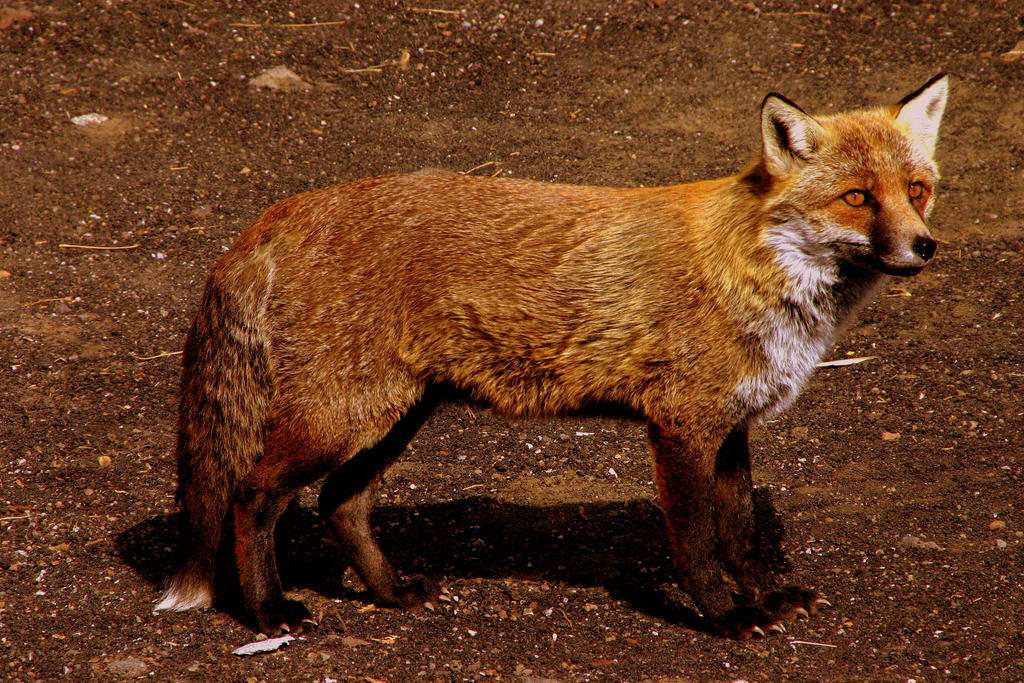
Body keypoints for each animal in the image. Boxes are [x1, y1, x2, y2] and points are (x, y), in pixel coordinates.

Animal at [155, 75, 948, 639]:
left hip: (395, 415)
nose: (925, 246)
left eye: (916, 189)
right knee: (253, 495)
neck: (754, 267)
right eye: (856, 198)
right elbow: (698, 543)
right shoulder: (682, 424)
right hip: (343, 417)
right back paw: (268, 612)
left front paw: (764, 597)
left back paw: (388, 592)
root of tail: (274, 216)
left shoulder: (732, 425)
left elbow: (742, 533)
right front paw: (724, 617)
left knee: (340, 503)